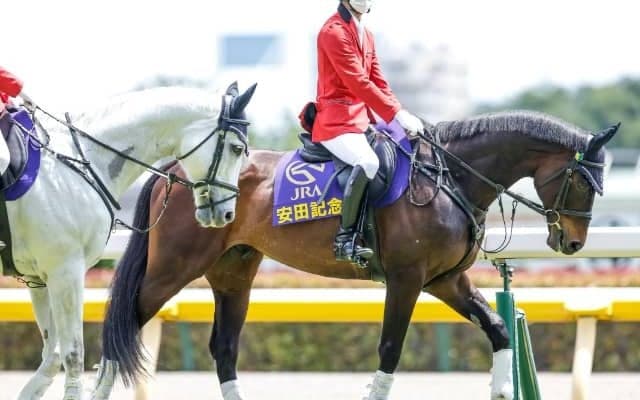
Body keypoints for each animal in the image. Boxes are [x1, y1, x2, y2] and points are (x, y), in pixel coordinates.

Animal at [5, 81, 257, 400]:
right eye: (237, 149)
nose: (226, 214)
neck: (84, 161)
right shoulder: (66, 271)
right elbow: (73, 354)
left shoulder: (39, 279)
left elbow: (52, 357)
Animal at [94, 111, 619, 400]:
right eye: (583, 182)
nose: (573, 244)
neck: (447, 176)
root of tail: (174, 169)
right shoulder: (408, 279)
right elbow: (390, 348)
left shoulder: (446, 280)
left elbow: (498, 329)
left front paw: (502, 388)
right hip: (173, 268)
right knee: (122, 324)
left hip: (233, 272)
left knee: (223, 347)